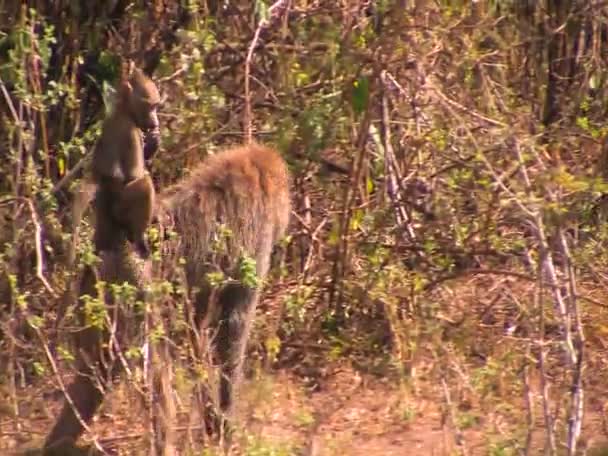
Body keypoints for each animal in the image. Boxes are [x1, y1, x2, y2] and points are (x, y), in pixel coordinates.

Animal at [42, 142, 290, 452]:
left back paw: (57, 443)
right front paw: (226, 425)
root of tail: (112, 246)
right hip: (135, 298)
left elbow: (197, 335)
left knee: (93, 377)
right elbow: (233, 332)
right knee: (156, 378)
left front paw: (213, 421)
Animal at [90, 63, 160, 260]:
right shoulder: (130, 132)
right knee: (144, 184)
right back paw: (138, 238)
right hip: (120, 210)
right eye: (150, 106)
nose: (156, 122)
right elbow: (133, 176)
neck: (124, 110)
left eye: (156, 107)